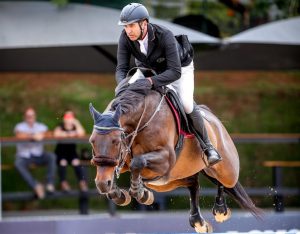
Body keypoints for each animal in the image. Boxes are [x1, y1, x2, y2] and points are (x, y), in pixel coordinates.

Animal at [88, 82, 262, 232]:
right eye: (92, 141)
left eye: (116, 141)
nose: (102, 184)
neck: (141, 121)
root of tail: (214, 119)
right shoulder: (122, 161)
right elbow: (119, 169)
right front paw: (117, 193)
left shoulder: (166, 159)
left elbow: (138, 162)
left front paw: (139, 192)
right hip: (169, 180)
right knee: (193, 183)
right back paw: (198, 221)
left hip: (225, 170)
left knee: (223, 181)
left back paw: (220, 209)